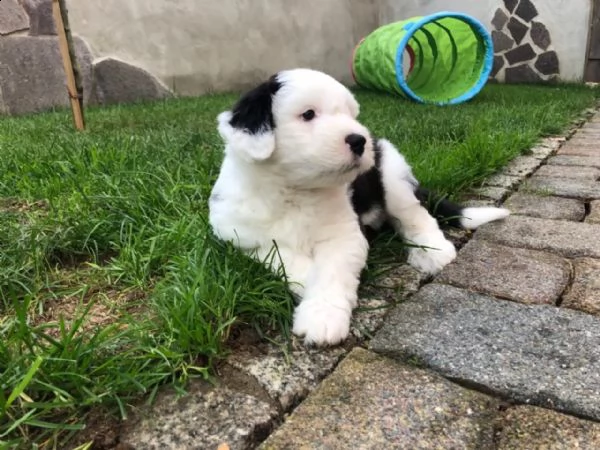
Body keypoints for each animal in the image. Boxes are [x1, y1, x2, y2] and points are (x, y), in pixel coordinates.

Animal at [209, 68, 508, 346]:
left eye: (351, 114)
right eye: (308, 114)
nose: (359, 140)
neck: (293, 190)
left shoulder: (344, 234)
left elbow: (331, 270)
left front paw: (323, 317)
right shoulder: (241, 237)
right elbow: (284, 259)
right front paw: (309, 287)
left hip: (392, 173)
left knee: (415, 215)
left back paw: (432, 251)